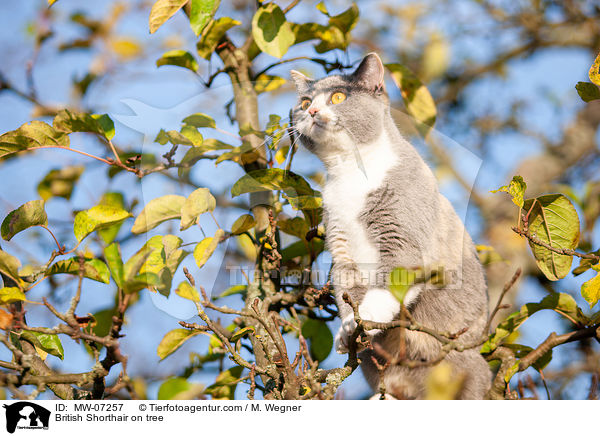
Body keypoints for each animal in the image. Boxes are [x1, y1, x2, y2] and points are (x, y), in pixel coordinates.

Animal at [290, 53, 492, 398]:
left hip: (459, 357)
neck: (350, 174)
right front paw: (348, 331)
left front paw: (368, 316)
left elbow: (393, 275)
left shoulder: (403, 230)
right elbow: (348, 290)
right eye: (304, 103)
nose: (313, 111)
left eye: (338, 97)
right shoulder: (341, 249)